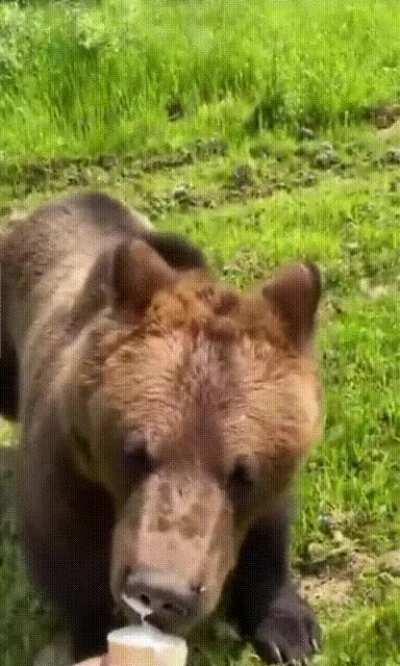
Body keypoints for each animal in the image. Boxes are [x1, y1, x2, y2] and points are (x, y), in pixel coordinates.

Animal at [0, 192, 322, 664]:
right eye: (134, 454)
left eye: (242, 474)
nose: (162, 593)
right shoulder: (65, 468)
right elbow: (68, 561)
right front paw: (96, 636)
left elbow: (267, 534)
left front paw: (290, 632)